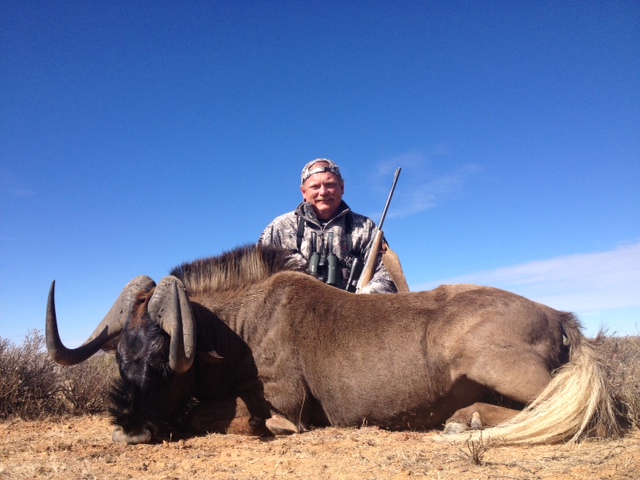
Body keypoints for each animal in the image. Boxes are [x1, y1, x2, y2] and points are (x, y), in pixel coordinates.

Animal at [46, 244, 622, 445]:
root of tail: (558, 317)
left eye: (165, 364)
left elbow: (222, 415)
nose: (132, 429)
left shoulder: (285, 402)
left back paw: (466, 420)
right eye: (122, 362)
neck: (239, 330)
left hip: (495, 365)